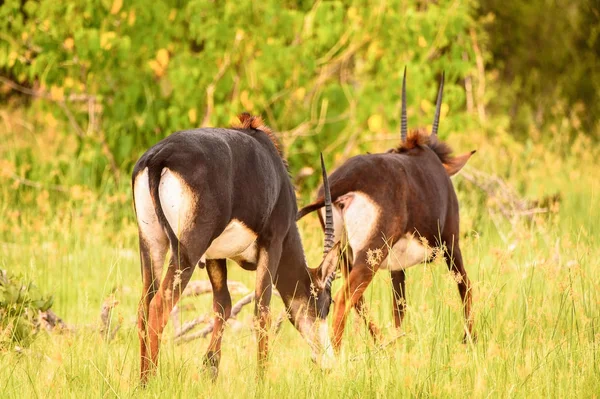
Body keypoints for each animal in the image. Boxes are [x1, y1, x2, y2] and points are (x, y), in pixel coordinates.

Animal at [132, 113, 338, 384]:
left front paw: (211, 370)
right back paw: (151, 381)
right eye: (326, 302)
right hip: (188, 252)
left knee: (144, 306)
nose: (327, 363)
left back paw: (142, 381)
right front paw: (262, 380)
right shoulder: (273, 243)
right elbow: (262, 310)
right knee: (159, 305)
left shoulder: (214, 255)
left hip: (151, 244)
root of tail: (159, 157)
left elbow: (223, 305)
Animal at [298, 69, 476, 354]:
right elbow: (466, 287)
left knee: (354, 299)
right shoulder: (451, 245)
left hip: (344, 253)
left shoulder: (396, 268)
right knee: (345, 297)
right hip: (371, 253)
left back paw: (383, 345)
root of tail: (342, 184)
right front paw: (469, 339)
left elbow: (398, 309)